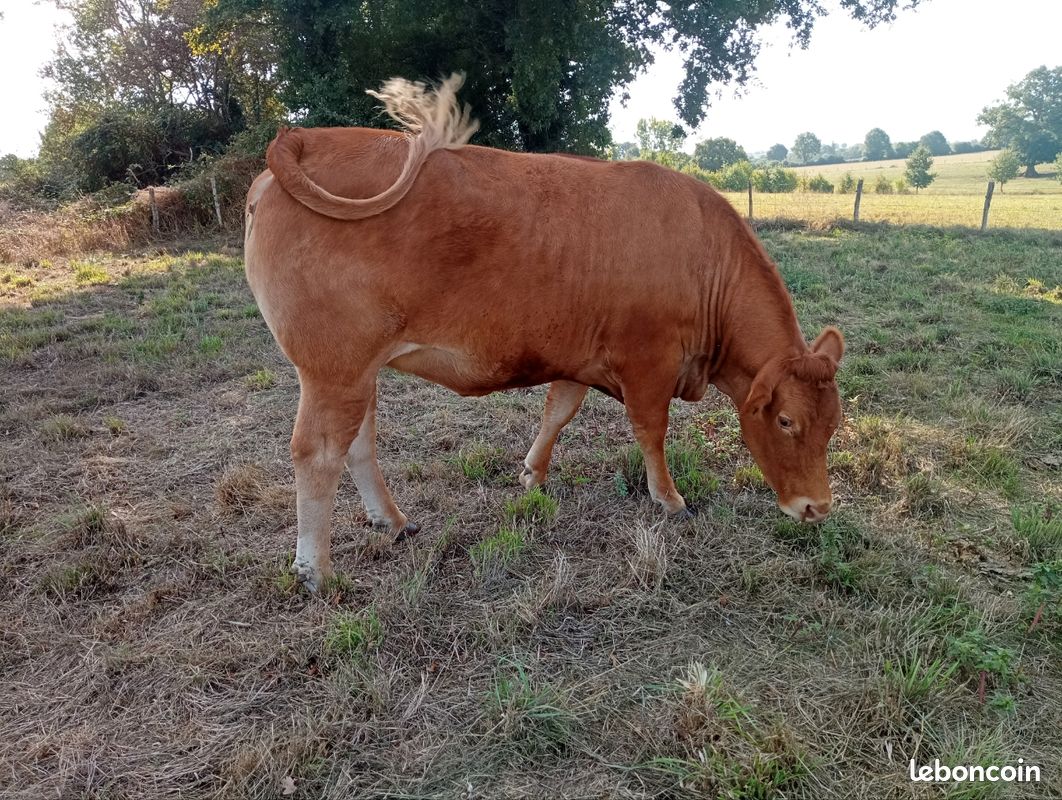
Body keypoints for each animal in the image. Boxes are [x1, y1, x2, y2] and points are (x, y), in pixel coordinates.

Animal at [244, 74, 845, 591]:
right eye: (786, 421)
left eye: (834, 424)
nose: (817, 508)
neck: (703, 259)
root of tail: (304, 136)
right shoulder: (648, 362)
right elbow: (651, 431)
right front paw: (668, 498)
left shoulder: (578, 358)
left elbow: (558, 411)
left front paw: (532, 473)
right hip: (334, 370)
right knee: (318, 453)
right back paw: (316, 569)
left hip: (359, 371)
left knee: (358, 445)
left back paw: (391, 520)